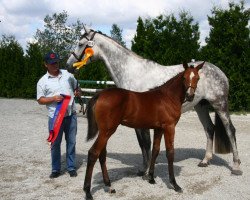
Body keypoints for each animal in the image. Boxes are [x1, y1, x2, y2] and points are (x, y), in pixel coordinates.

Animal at [66, 27, 242, 175]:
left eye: (81, 44)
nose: (69, 66)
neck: (132, 72)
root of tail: (219, 71)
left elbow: (145, 143)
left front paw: (146, 170)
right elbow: (142, 144)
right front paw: (144, 168)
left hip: (220, 104)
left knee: (230, 130)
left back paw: (236, 166)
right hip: (201, 106)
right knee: (209, 129)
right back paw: (205, 160)